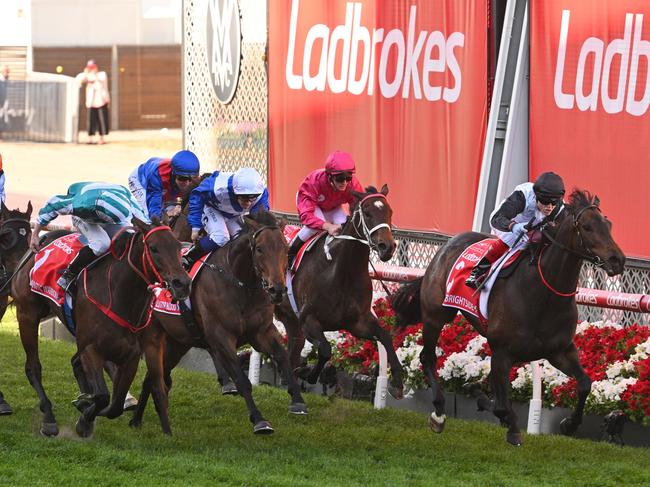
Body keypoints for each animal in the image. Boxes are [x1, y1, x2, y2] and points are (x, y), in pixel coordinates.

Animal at [10, 219, 190, 436]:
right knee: (33, 367)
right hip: (27, 314)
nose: (183, 283)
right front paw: (84, 416)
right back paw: (49, 417)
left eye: (178, 247)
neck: (120, 297)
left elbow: (115, 405)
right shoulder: (91, 349)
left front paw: (85, 408)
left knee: (75, 364)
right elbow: (104, 396)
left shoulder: (130, 357)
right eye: (154, 248)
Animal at [130, 210, 308, 434]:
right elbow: (241, 379)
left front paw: (298, 401)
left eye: (285, 248)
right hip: (154, 336)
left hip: (176, 343)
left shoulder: (262, 332)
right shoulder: (221, 337)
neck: (240, 285)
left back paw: (136, 420)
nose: (277, 289)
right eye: (259, 249)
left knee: (152, 377)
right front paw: (259, 420)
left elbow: (283, 357)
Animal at [270, 185, 402, 398]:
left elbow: (385, 336)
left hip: (290, 319)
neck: (341, 272)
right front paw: (308, 373)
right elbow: (325, 349)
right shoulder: (308, 320)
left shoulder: (357, 322)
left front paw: (397, 382)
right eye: (367, 213)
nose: (387, 247)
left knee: (293, 349)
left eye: (390, 212)